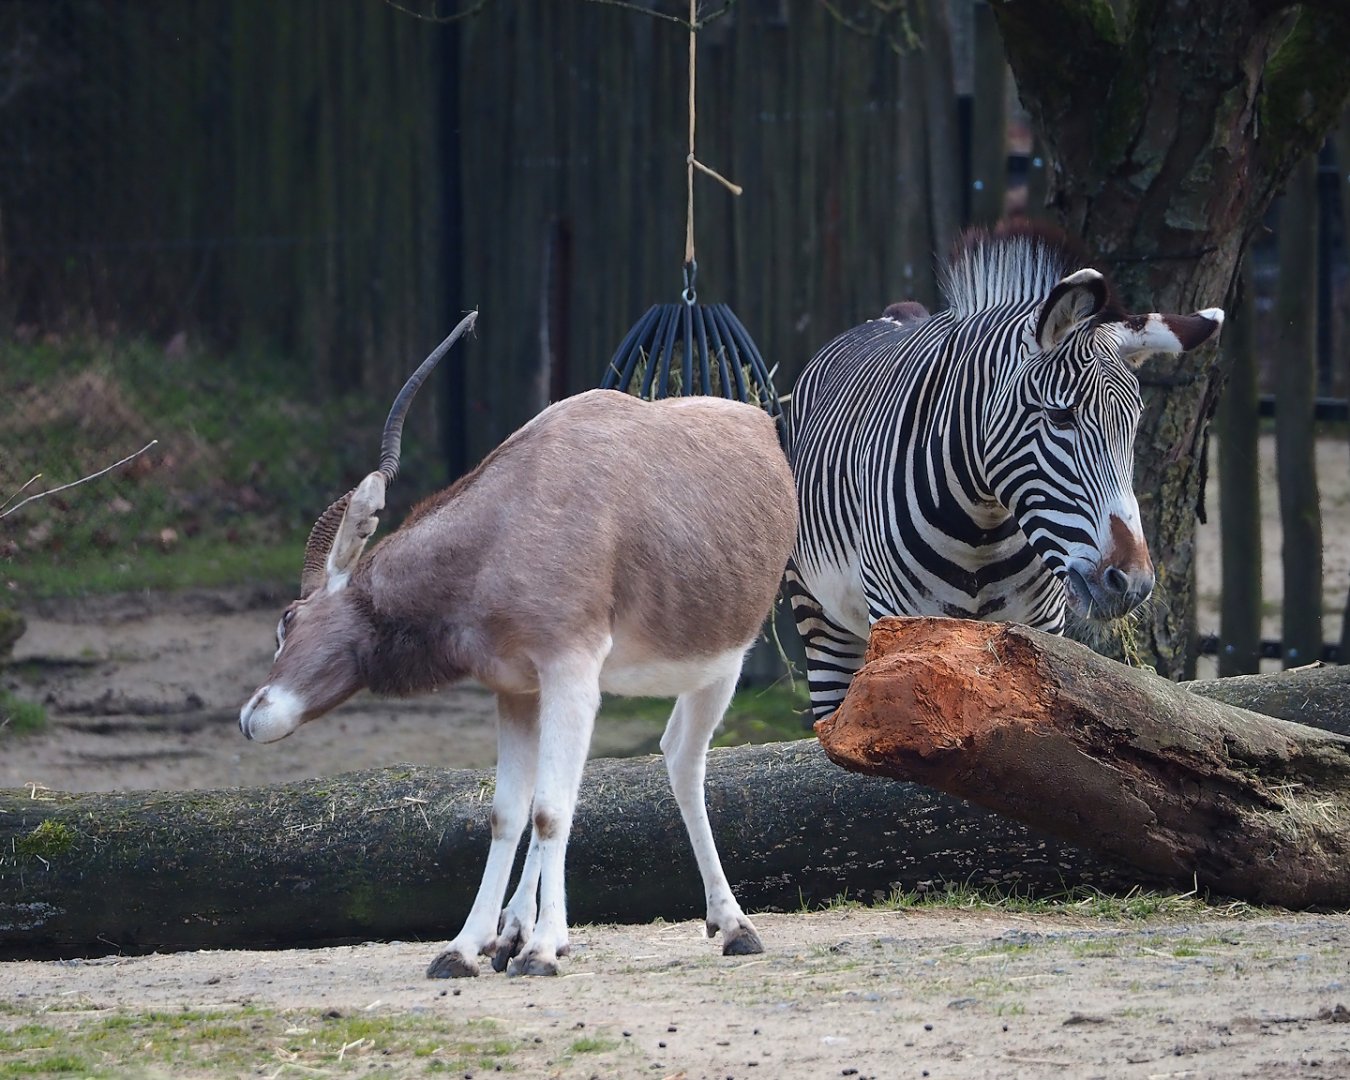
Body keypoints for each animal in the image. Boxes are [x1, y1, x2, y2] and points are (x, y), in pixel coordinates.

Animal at [787, 223, 1224, 720]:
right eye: (1060, 416)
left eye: (1132, 425)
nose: (1131, 584)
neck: (982, 530)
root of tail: (891, 316)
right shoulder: (899, 621)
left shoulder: (1039, 633)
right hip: (821, 619)